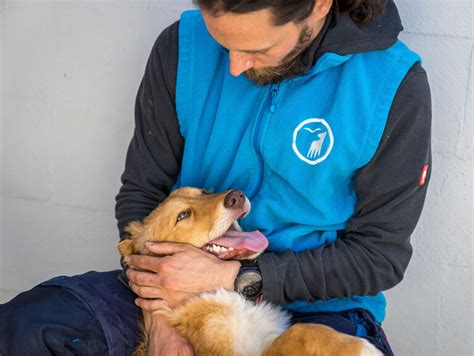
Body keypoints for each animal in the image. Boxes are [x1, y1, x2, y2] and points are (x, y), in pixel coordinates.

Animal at [117, 188, 382, 354]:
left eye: (204, 192)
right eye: (183, 215)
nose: (236, 196)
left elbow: (305, 330)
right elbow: (297, 333)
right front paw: (364, 348)